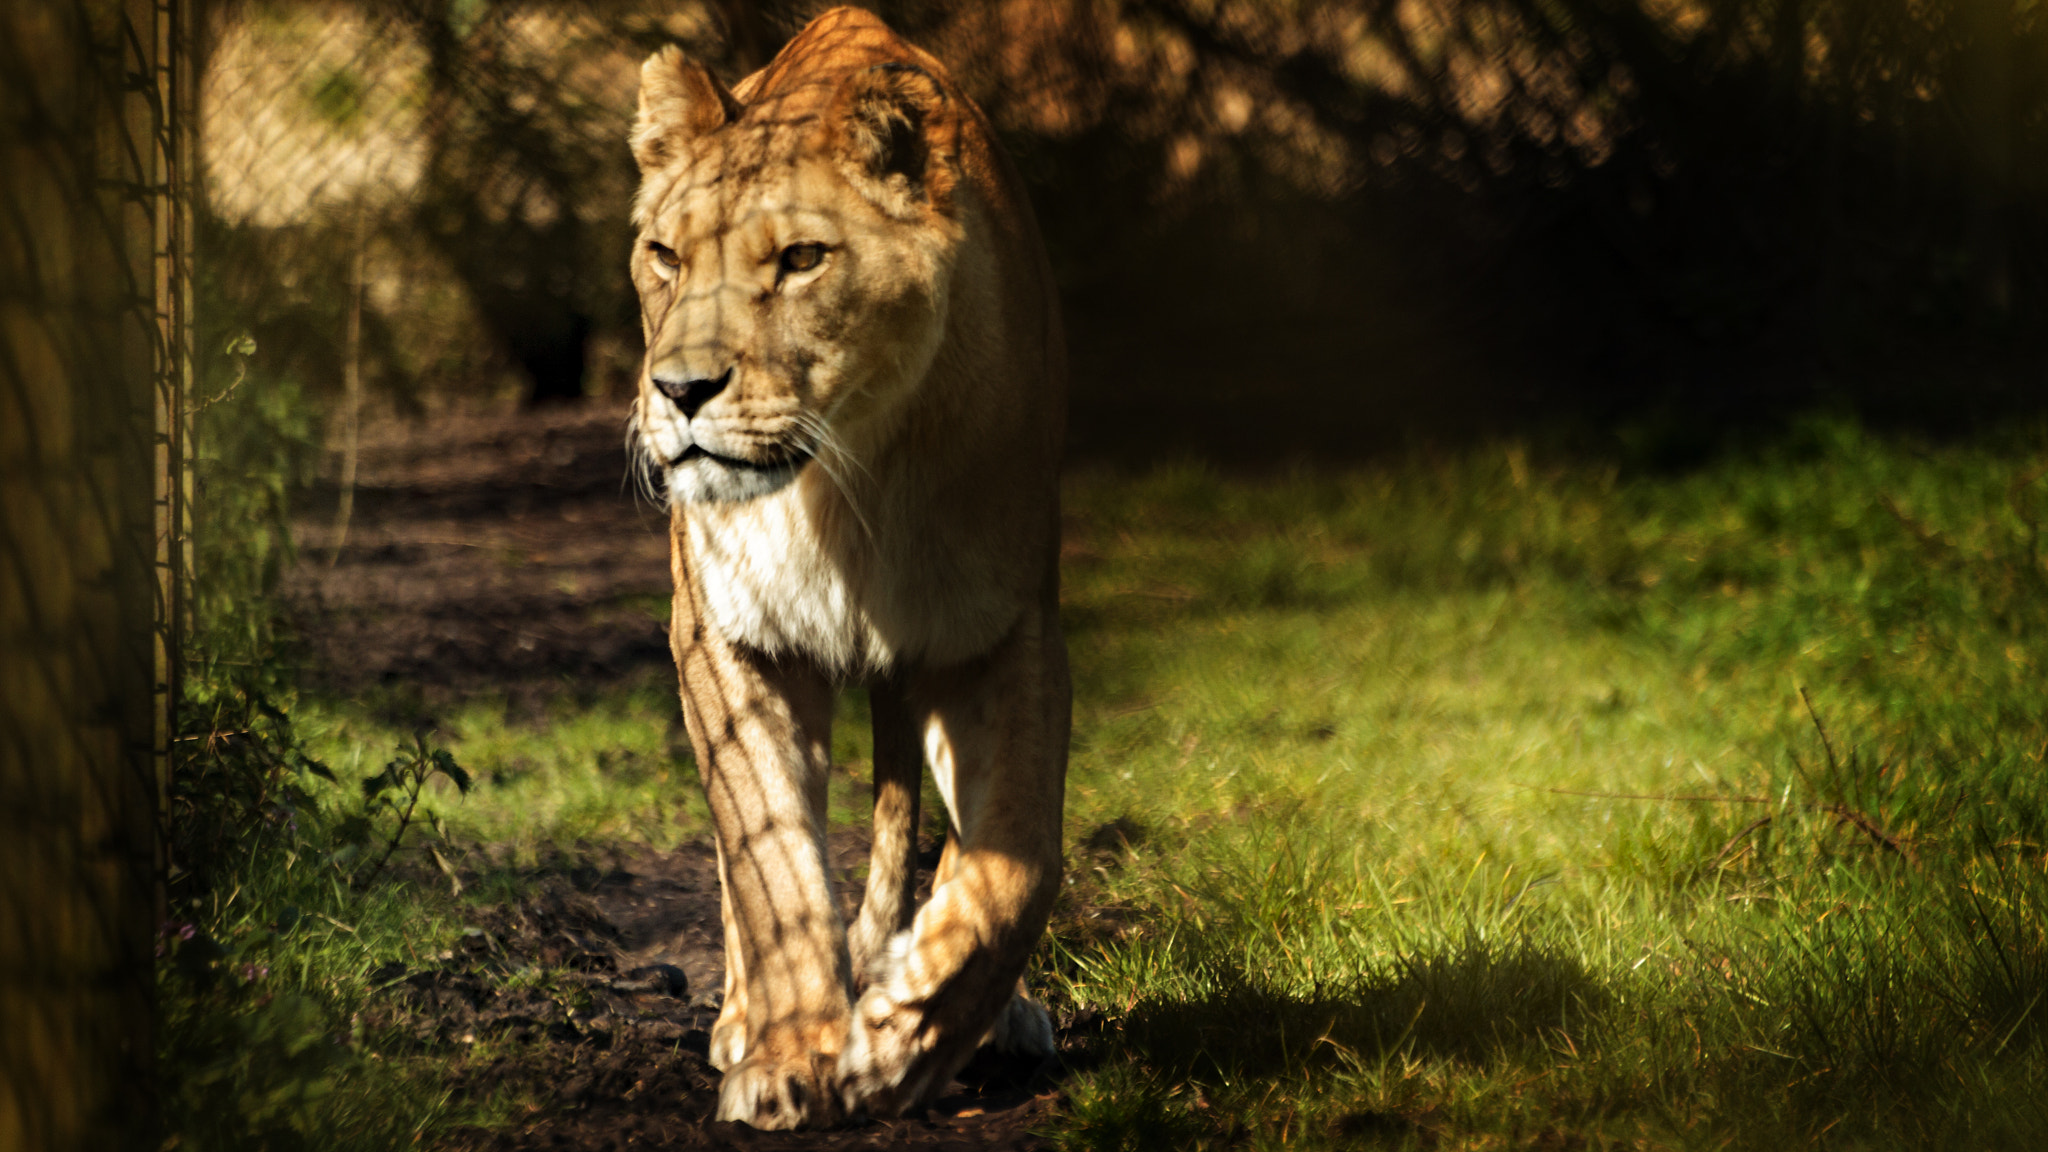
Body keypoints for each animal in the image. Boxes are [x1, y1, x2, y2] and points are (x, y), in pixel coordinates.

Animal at [624, 7, 1070, 1130]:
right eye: (663, 255)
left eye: (800, 258)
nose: (678, 390)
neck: (846, 481)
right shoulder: (721, 634)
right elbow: (772, 863)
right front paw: (791, 1055)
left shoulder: (1004, 627)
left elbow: (1017, 862)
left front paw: (908, 1034)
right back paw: (744, 1019)